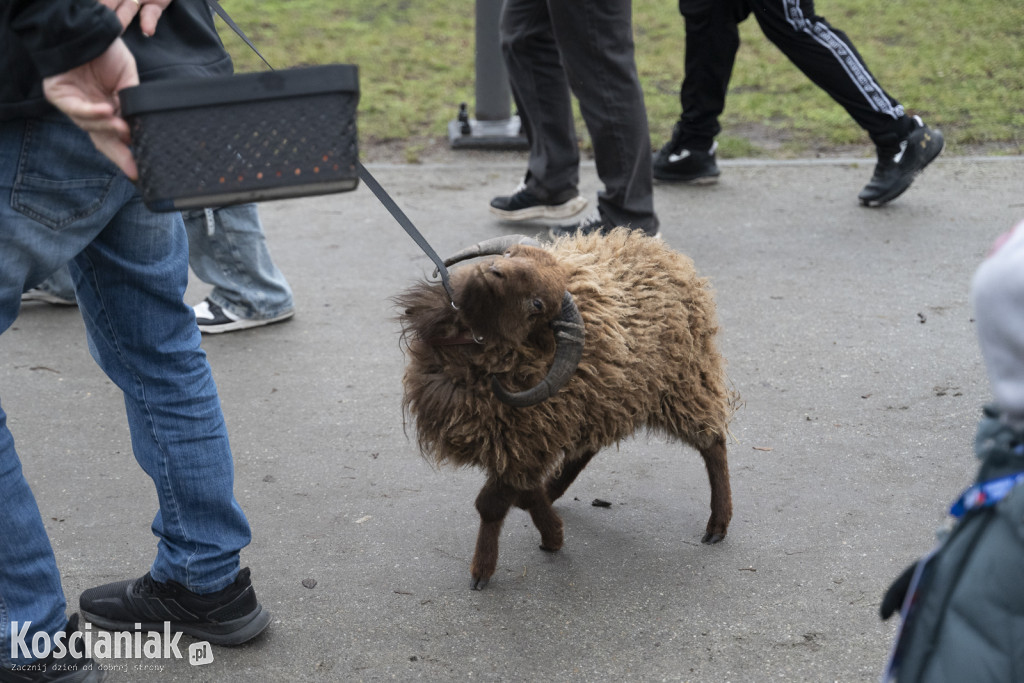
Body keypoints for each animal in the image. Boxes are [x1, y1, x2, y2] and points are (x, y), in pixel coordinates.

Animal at [393, 228, 737, 589]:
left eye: (537, 304)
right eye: (512, 254)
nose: (492, 270)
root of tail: (661, 253)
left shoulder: (522, 439)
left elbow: (490, 505)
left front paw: (484, 570)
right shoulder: (526, 440)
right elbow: (524, 490)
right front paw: (551, 530)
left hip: (683, 383)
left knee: (713, 443)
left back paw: (718, 524)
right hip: (605, 398)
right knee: (586, 449)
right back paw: (553, 489)